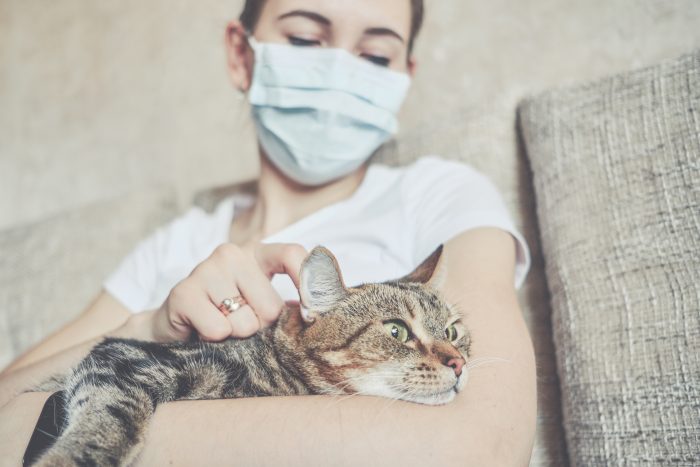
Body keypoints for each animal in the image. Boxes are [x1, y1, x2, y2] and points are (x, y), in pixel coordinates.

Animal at [31, 247, 470, 466]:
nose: (459, 364)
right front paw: (72, 457)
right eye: (397, 331)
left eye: (453, 332)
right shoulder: (123, 355)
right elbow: (109, 418)